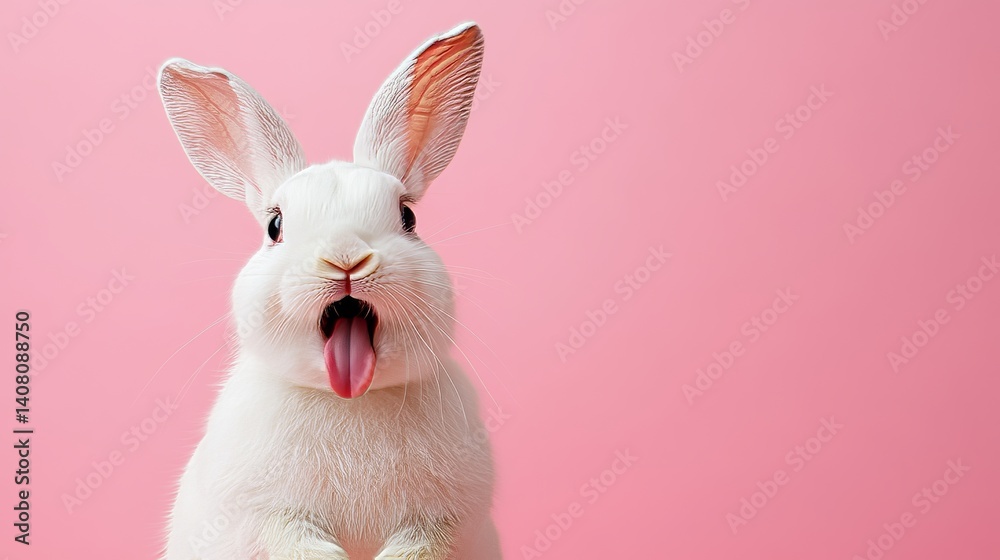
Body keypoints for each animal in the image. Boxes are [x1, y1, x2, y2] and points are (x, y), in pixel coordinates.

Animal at [157, 22, 500, 560]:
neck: (350, 400)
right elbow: (292, 538)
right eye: (275, 226)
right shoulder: (268, 515)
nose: (345, 256)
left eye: (408, 217)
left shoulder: (441, 521)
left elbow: (421, 544)